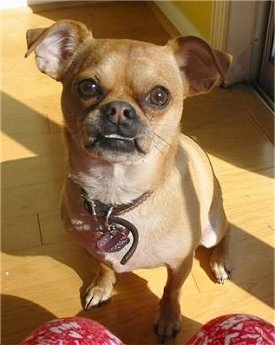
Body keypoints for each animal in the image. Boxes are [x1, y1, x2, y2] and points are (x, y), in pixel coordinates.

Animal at [25, 20, 233, 340]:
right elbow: (104, 266)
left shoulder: (180, 263)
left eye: (159, 96)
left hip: (211, 227)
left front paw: (168, 317)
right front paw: (101, 287)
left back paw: (220, 262)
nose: (120, 110)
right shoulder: (95, 249)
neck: (116, 193)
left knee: (226, 233)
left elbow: (172, 290)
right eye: (87, 86)